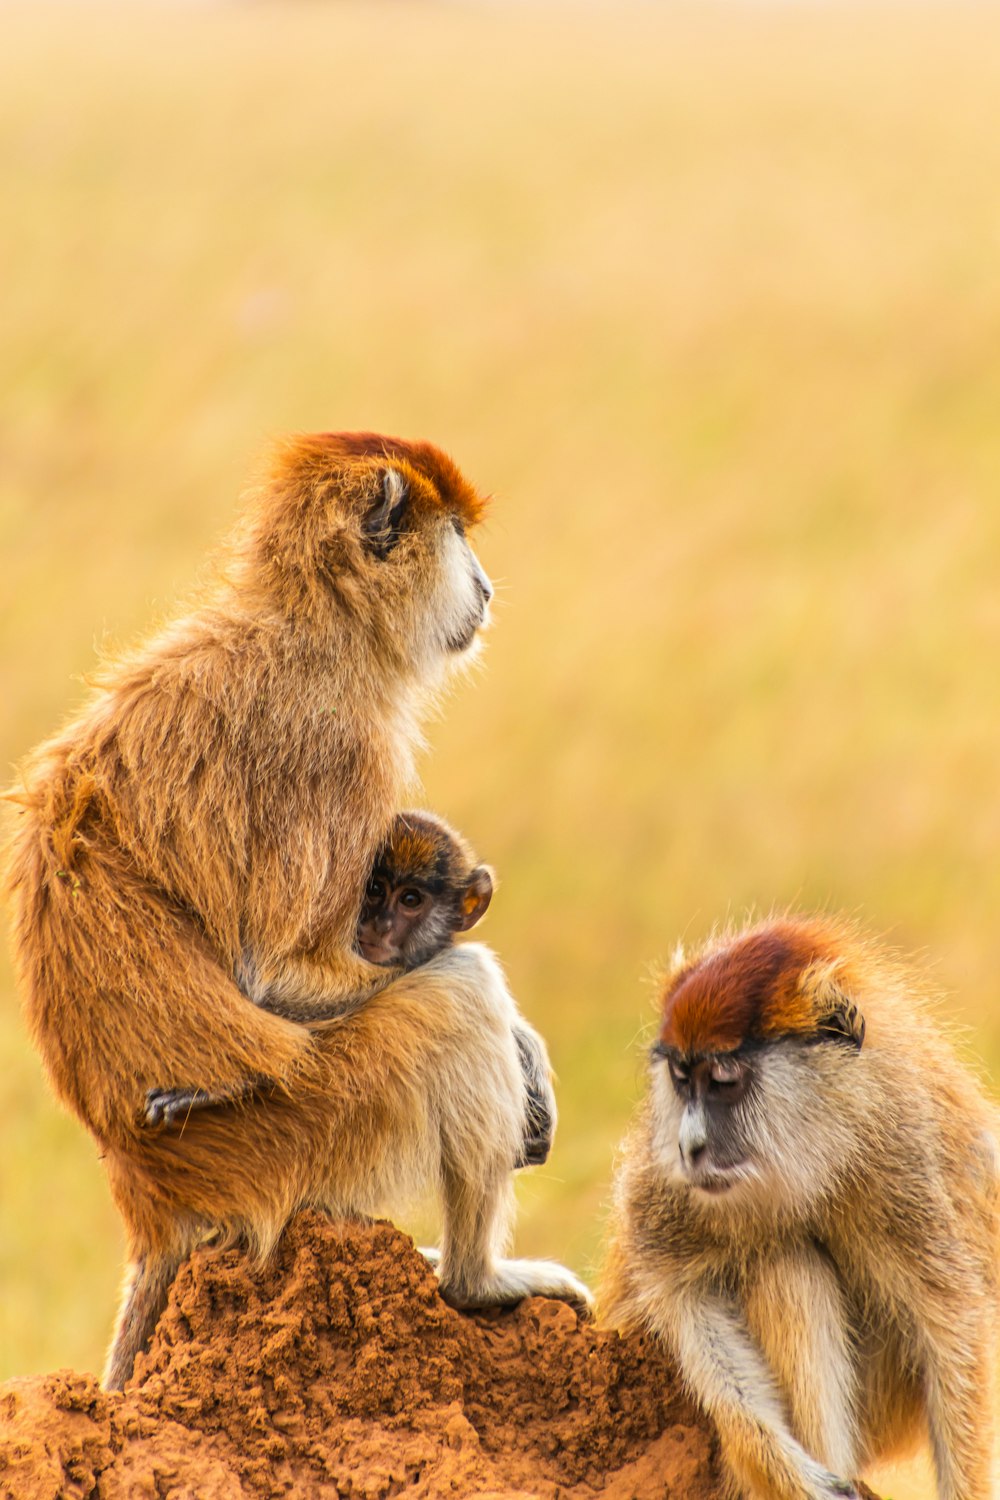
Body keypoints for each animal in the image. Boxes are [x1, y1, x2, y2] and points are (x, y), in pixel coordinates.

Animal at [3, 432, 590, 1380]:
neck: (313, 621)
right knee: (459, 995)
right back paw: (474, 1283)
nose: (487, 588)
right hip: (307, 1130)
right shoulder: (339, 747)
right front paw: (522, 1047)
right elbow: (275, 977)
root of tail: (147, 1195)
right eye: (458, 535)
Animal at [602, 912, 1000, 1500]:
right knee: (783, 1260)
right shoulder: (670, 1181)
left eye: (722, 1082)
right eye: (682, 1080)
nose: (690, 1146)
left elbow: (952, 1323)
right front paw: (786, 1469)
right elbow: (681, 1291)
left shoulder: (904, 1154)